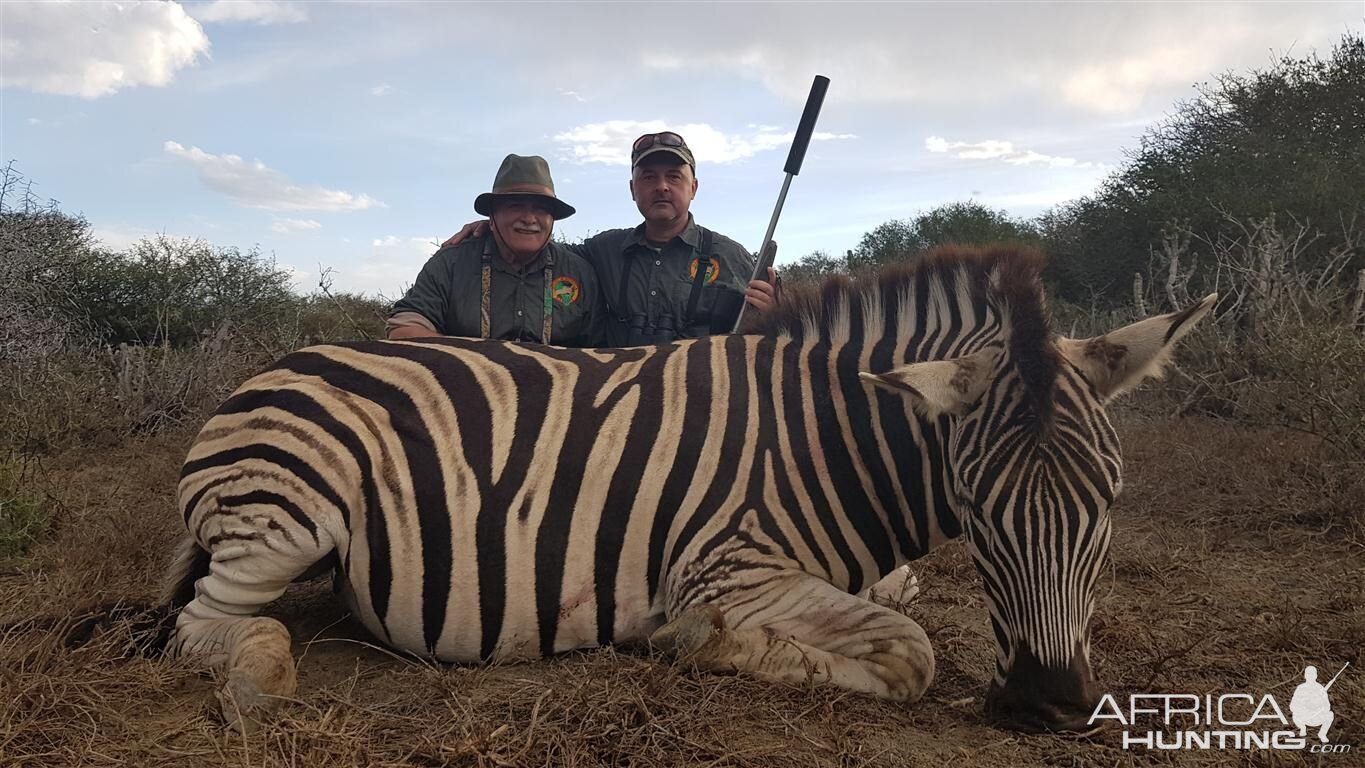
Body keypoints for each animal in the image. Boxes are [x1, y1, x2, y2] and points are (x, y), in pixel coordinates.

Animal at [149, 246, 1212, 731]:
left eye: (1109, 500)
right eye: (979, 512)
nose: (1047, 703)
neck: (827, 439)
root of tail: (275, 365)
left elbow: (900, 598)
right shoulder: (726, 566)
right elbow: (908, 652)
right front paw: (692, 642)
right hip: (288, 516)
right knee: (205, 626)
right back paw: (256, 678)